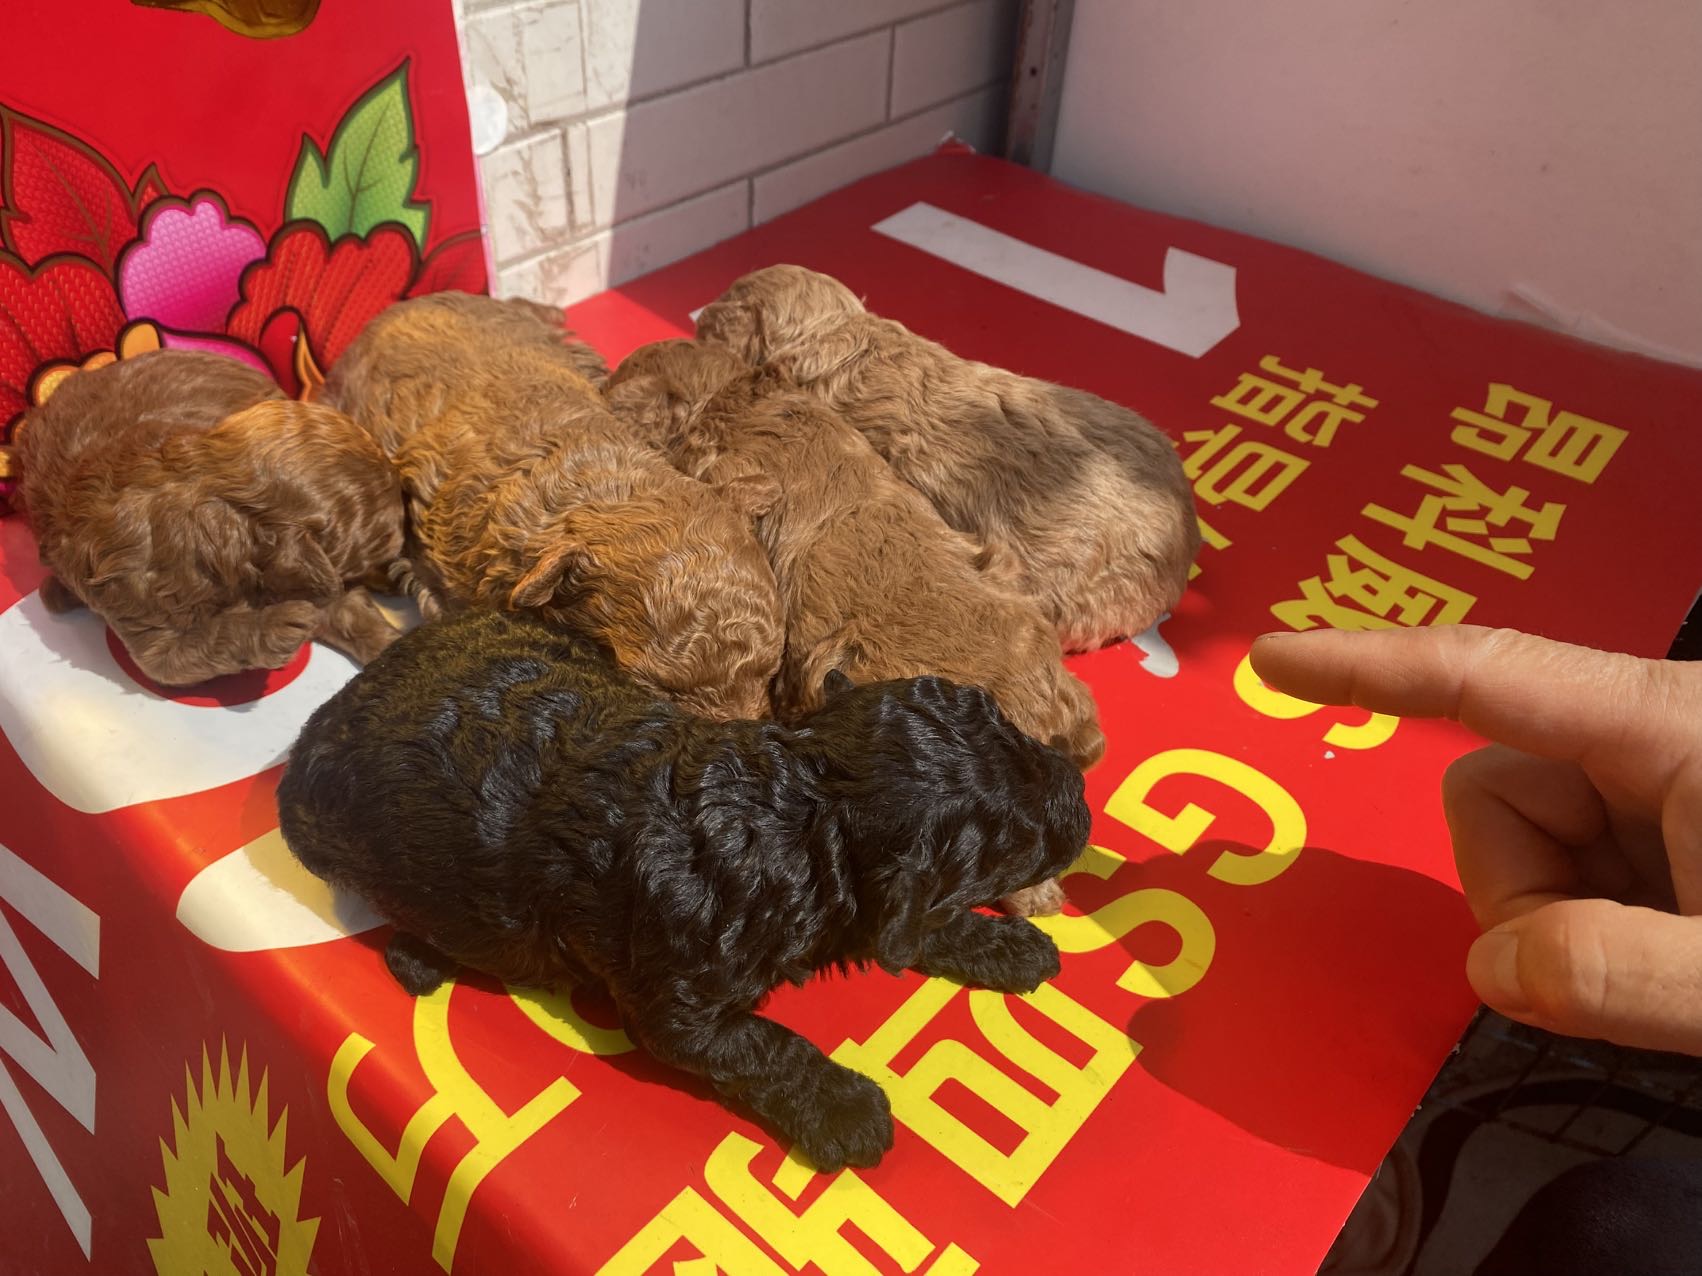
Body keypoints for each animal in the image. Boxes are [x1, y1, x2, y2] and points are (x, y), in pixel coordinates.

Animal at [16, 350, 403, 685]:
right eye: (385, 545)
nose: (397, 579)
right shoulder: (142, 618)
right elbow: (187, 653)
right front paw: (274, 626)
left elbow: (350, 612)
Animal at [277, 608, 1088, 1172]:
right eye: (1013, 840)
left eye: (1010, 723)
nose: (1081, 795)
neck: (798, 816)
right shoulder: (679, 1003)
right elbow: (767, 1043)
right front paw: (846, 1109)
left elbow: (930, 923)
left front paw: (1008, 945)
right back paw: (421, 956)